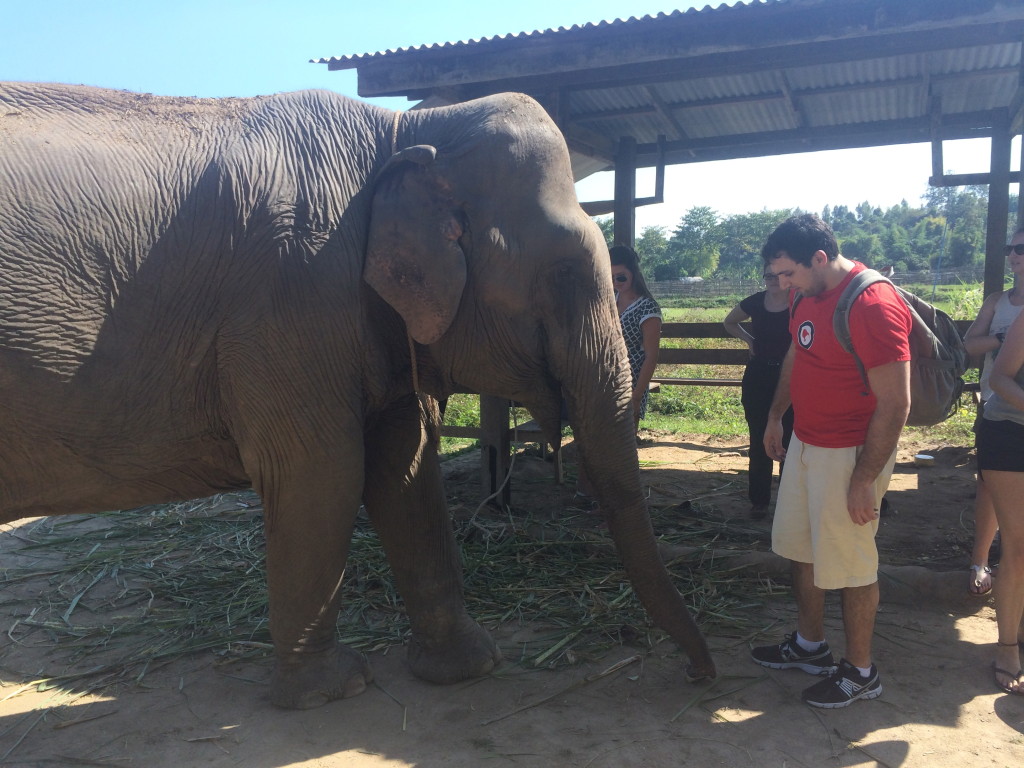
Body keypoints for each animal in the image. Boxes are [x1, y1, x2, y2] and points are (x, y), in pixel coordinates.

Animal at [0, 82, 716, 708]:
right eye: (565, 273)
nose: (698, 674)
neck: (405, 129)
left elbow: (406, 470)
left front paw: (470, 667)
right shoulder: (291, 300)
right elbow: (325, 472)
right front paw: (330, 693)